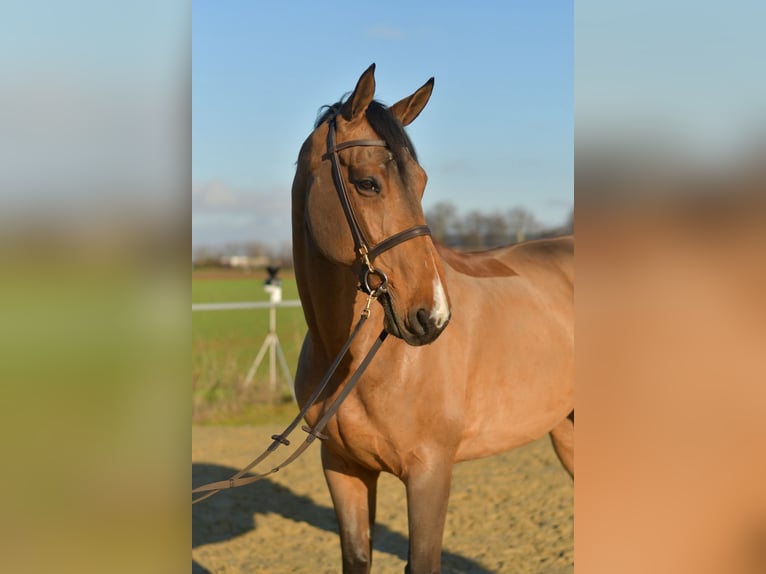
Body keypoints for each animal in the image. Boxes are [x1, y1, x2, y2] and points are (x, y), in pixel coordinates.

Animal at [291, 64, 573, 574]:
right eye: (367, 182)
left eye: (421, 182)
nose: (433, 315)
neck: (355, 360)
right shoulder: (342, 468)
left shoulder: (429, 473)